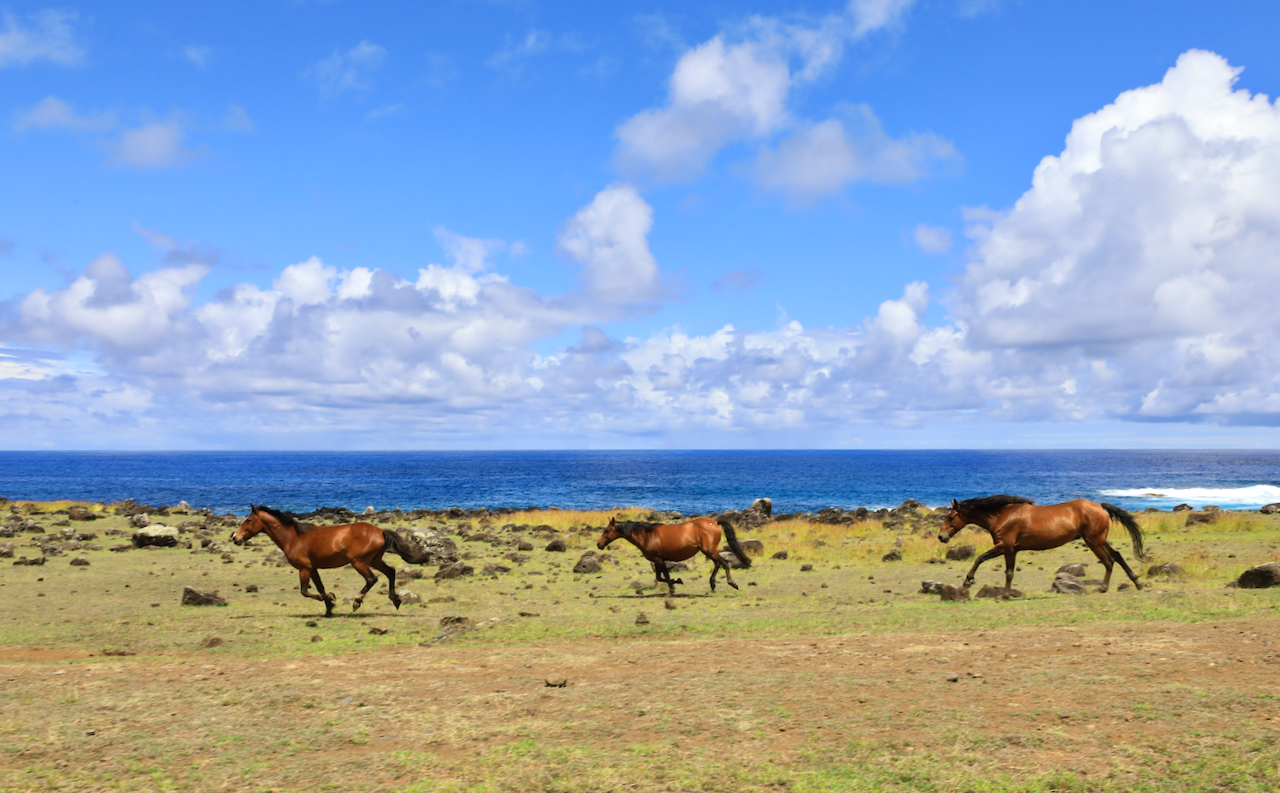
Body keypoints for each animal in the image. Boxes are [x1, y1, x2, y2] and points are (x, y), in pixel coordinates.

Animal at [230, 503, 430, 616]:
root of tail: (380, 531)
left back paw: (357, 601)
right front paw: (329, 609)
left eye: (248, 520)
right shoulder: (313, 568)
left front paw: (332, 599)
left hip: (359, 562)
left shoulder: (304, 568)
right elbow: (320, 588)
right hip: (374, 560)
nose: (235, 538)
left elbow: (305, 591)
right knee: (390, 572)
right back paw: (395, 599)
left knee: (372, 579)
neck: (293, 538)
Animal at [596, 514, 747, 593]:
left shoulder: (658, 559)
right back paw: (712, 584)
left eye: (607, 531)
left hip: (709, 551)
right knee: (718, 564)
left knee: (724, 563)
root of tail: (715, 522)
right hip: (709, 551)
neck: (647, 535)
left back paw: (732, 583)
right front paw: (677, 582)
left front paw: (673, 587)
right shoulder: (657, 560)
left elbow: (666, 576)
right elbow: (660, 577)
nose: (599, 544)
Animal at [936, 496, 1157, 593]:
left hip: (1094, 542)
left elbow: (980, 559)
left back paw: (1103, 587)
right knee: (1117, 556)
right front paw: (1006, 594)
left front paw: (968, 582)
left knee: (1109, 561)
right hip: (1098, 540)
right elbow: (1009, 572)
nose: (941, 537)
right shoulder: (1011, 550)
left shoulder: (1004, 546)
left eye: (951, 516)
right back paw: (1137, 582)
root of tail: (1100, 506)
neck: (1002, 516)